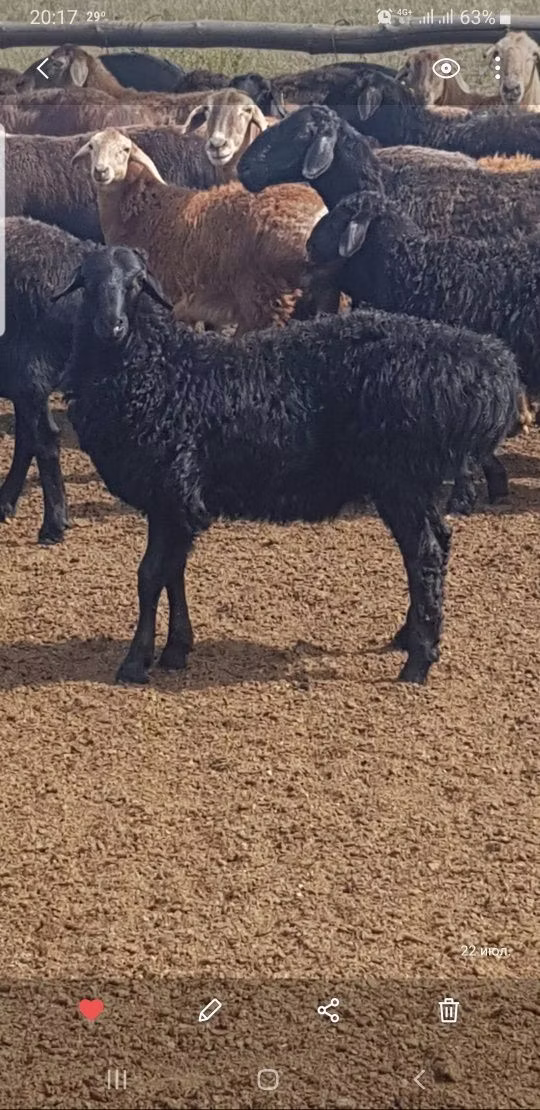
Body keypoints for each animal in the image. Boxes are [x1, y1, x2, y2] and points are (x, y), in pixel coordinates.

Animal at [54, 245, 520, 685]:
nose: (112, 326)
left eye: (136, 281)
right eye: (88, 282)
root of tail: (482, 369)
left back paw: (417, 663)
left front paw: (136, 661)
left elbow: (151, 575)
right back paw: (409, 637)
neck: (163, 371)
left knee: (424, 554)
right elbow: (173, 572)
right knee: (434, 546)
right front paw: (176, 649)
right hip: (415, 482)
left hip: (401, 477)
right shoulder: (172, 498)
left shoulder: (173, 490)